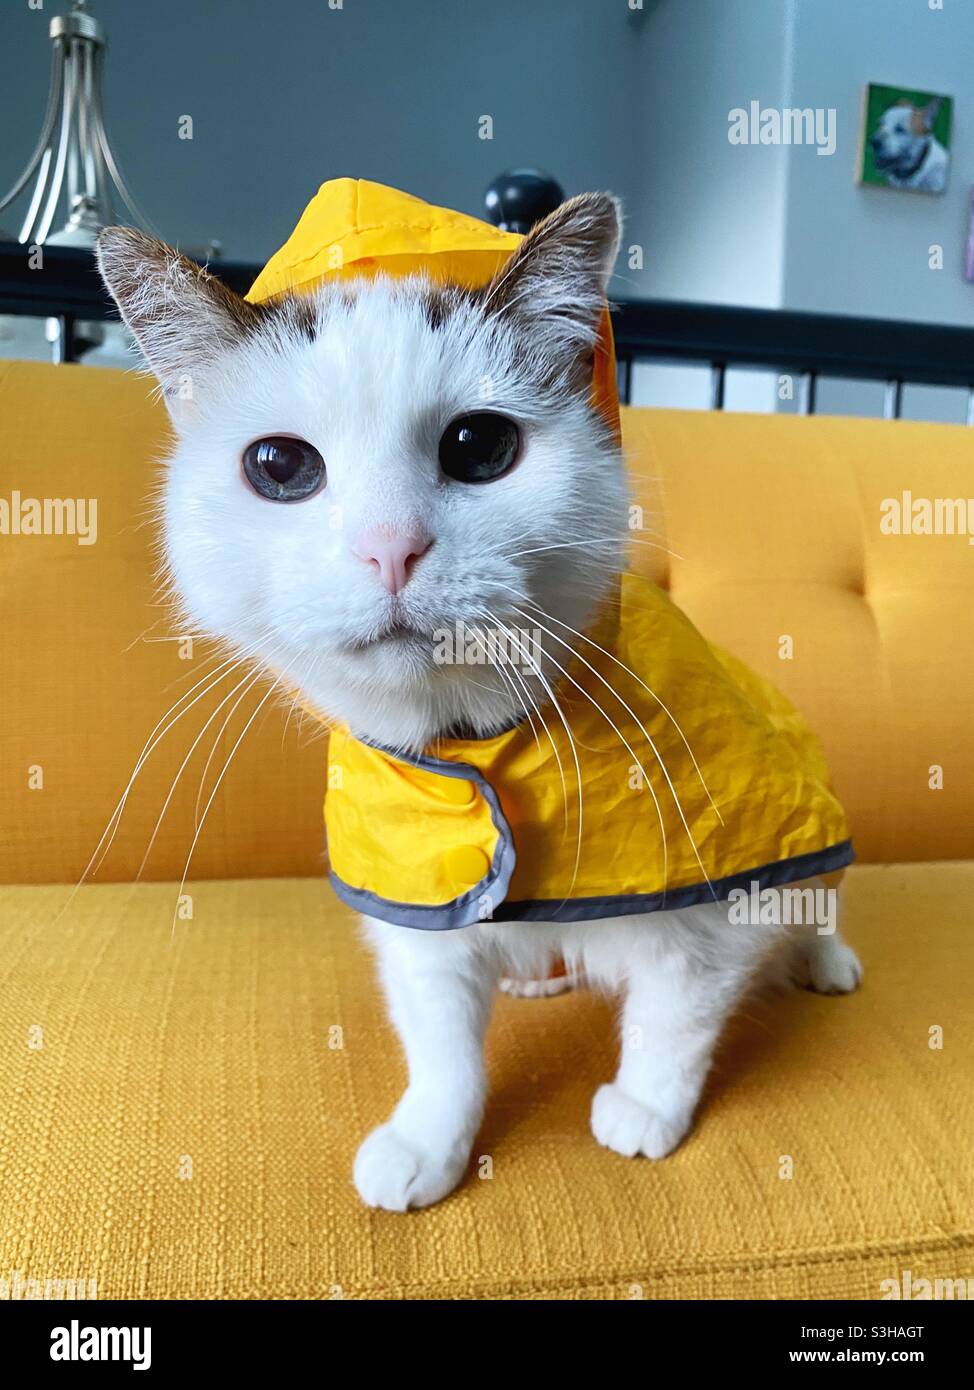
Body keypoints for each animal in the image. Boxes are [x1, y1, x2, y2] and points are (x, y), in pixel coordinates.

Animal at [96, 190, 855, 1212]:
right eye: (280, 467)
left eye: (479, 446)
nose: (390, 547)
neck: (473, 745)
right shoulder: (419, 893)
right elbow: (443, 1048)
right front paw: (428, 1144)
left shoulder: (710, 903)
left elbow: (674, 1012)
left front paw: (645, 1109)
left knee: (815, 905)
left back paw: (826, 963)